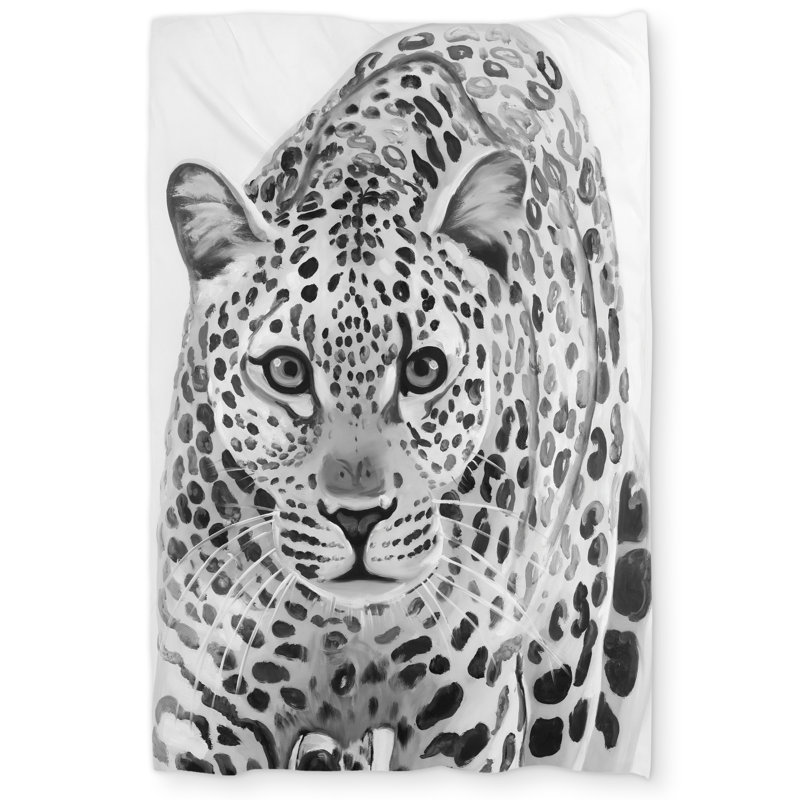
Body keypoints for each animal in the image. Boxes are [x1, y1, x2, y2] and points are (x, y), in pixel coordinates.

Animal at [152, 22, 651, 774]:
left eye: (423, 369)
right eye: (287, 370)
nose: (358, 518)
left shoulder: (472, 712)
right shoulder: (200, 702)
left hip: (570, 647)